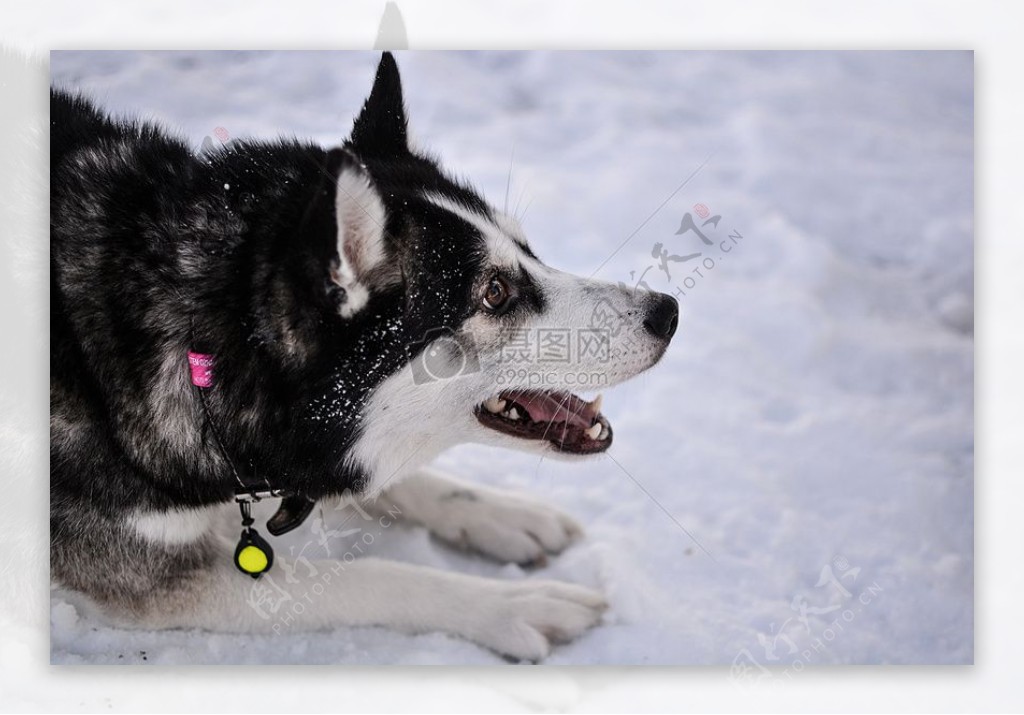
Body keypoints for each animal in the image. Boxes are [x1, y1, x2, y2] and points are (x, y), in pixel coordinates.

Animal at [54, 53, 679, 659]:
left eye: (529, 250)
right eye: (495, 292)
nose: (668, 313)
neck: (198, 356)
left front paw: (503, 513)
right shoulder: (148, 575)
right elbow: (374, 577)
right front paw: (515, 604)